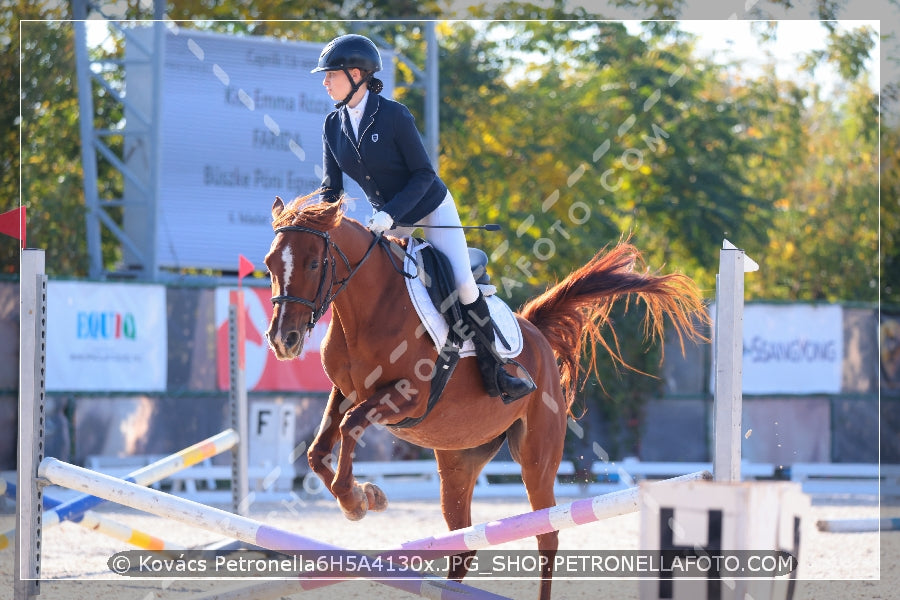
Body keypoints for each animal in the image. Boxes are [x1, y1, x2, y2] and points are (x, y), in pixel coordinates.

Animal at [264, 195, 708, 596]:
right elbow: (319, 449)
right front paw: (364, 495)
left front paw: (357, 500)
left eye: (314, 263)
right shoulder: (345, 390)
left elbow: (351, 423)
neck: (369, 308)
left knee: (547, 534)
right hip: (459, 461)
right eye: (270, 264)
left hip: (536, 457)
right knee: (463, 543)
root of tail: (534, 331)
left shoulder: (407, 397)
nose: (284, 339)